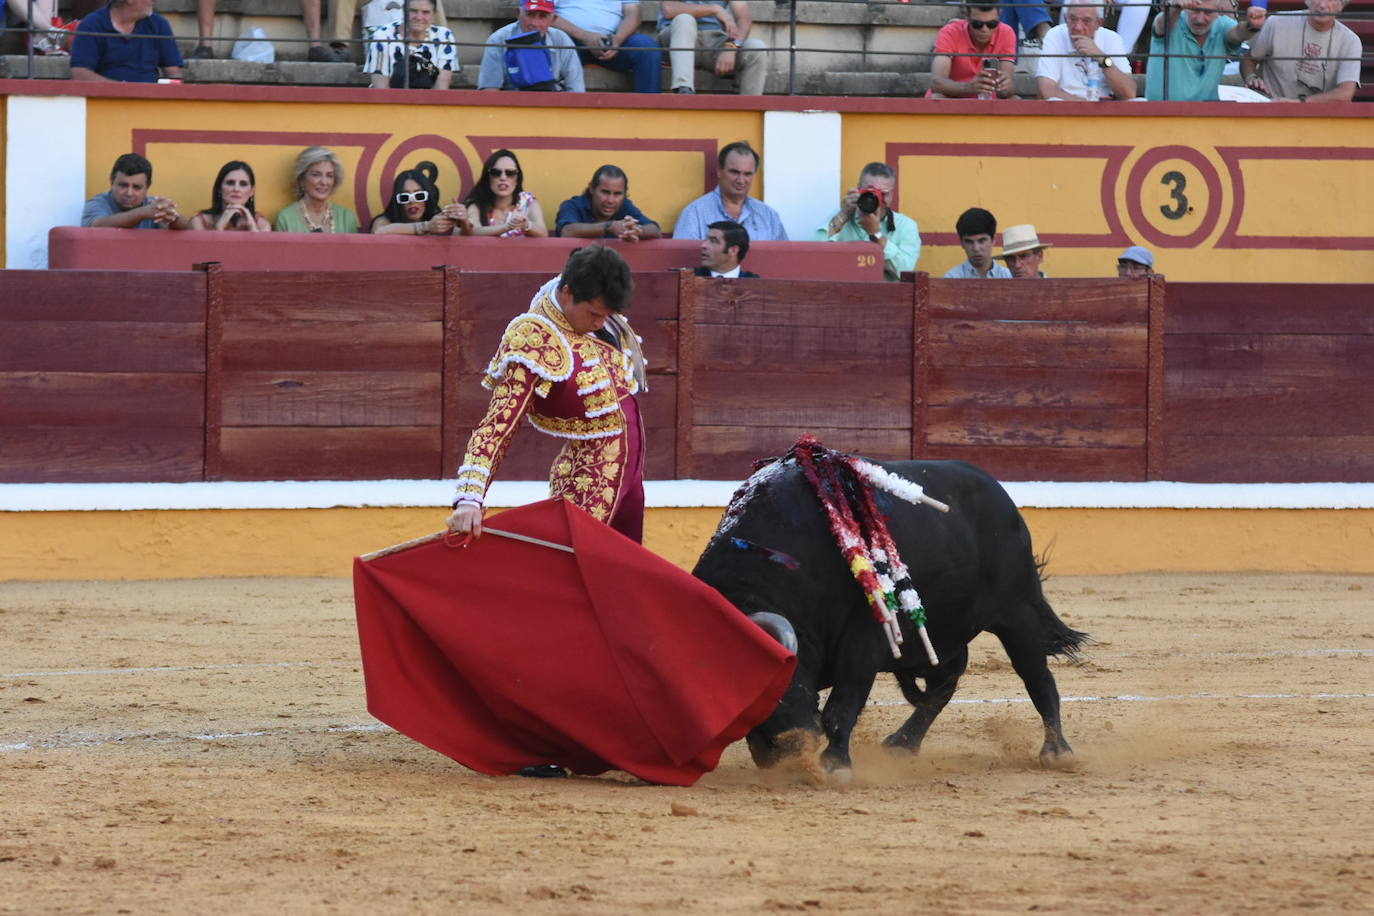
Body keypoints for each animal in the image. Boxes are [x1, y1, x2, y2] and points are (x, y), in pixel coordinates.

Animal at [692, 455, 1088, 774]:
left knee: (1037, 678)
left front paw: (835, 766)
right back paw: (902, 744)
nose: (784, 753)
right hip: (941, 633)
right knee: (944, 684)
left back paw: (1057, 752)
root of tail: (1001, 497)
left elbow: (842, 704)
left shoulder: (864, 638)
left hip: (1017, 614)